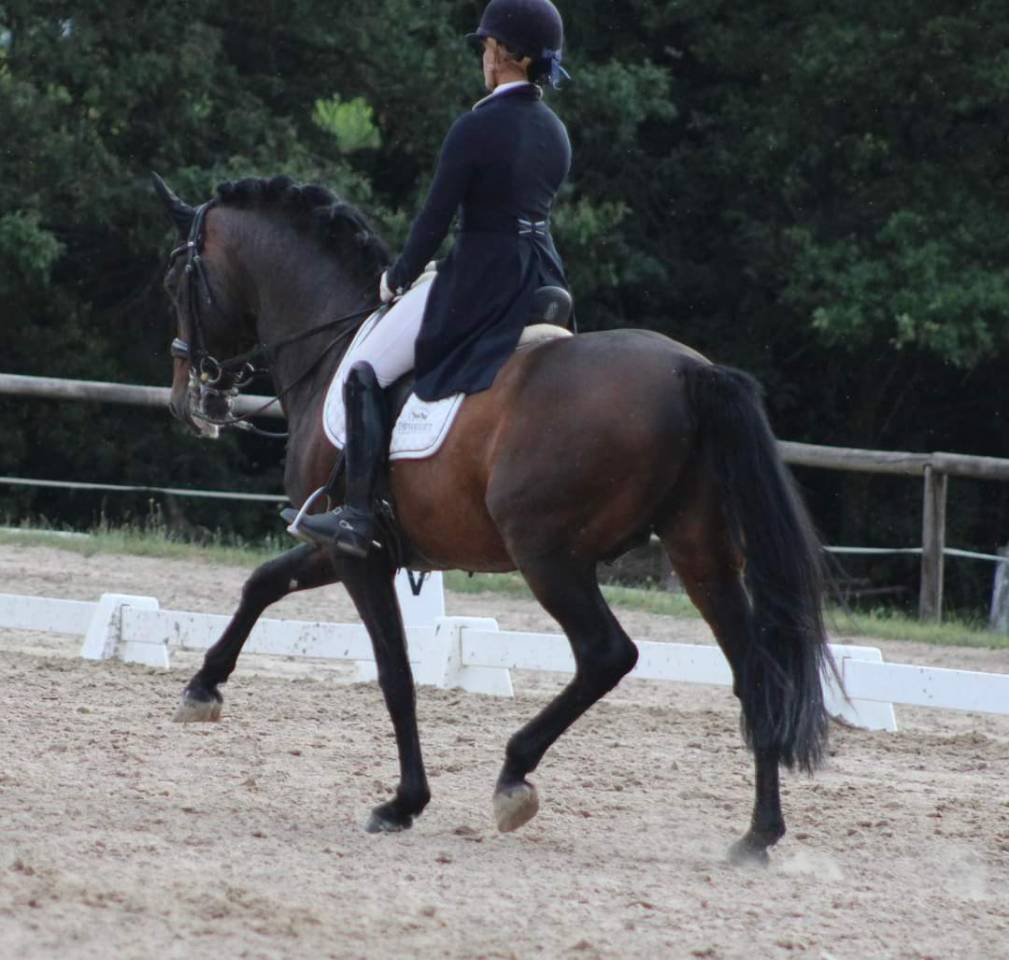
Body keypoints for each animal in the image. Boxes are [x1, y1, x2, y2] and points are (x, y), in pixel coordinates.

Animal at [154, 173, 832, 865]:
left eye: (176, 279)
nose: (191, 400)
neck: (333, 342)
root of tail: (691, 370)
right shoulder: (339, 545)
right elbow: (261, 582)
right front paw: (201, 690)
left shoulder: (355, 551)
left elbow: (396, 674)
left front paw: (402, 803)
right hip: (701, 553)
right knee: (754, 673)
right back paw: (757, 834)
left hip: (549, 555)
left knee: (606, 654)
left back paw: (514, 777)